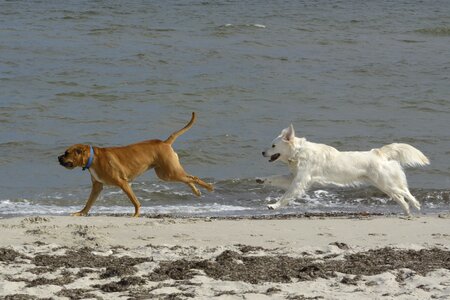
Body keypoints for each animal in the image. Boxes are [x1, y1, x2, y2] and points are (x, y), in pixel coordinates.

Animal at [58, 112, 213, 216]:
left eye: (66, 153)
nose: (58, 157)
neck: (93, 158)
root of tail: (165, 142)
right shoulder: (97, 186)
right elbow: (89, 202)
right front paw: (81, 213)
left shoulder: (123, 183)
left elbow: (135, 202)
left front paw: (136, 214)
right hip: (166, 174)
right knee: (188, 178)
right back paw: (197, 191)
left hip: (170, 172)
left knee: (193, 178)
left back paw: (208, 187)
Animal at [256, 124, 428, 216]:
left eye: (273, 145)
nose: (262, 152)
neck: (298, 153)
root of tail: (378, 152)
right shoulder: (292, 177)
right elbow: (274, 177)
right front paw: (261, 180)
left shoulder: (299, 181)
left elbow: (286, 195)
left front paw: (274, 205)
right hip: (383, 186)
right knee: (400, 197)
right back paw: (407, 212)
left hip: (386, 183)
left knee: (405, 193)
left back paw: (416, 205)